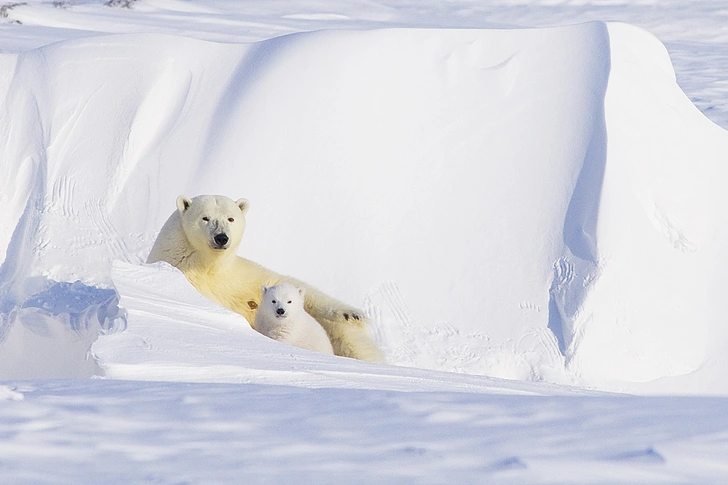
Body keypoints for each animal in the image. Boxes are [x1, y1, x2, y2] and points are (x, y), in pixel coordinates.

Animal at [148, 195, 386, 362]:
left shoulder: (244, 275)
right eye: (205, 218)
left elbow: (290, 284)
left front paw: (351, 313)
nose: (221, 238)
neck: (209, 266)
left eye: (231, 218)